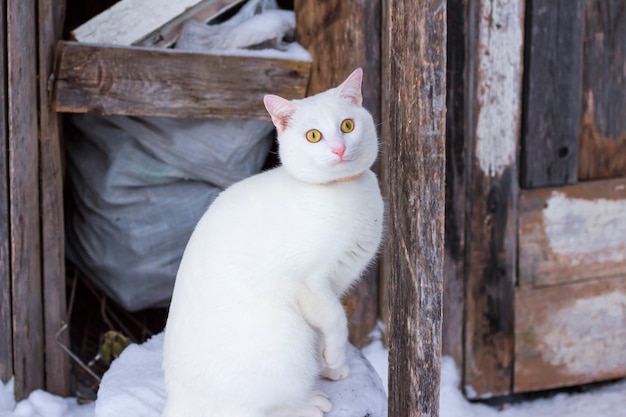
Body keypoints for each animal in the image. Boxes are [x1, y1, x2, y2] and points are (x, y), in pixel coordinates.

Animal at [161, 69, 382, 416]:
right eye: (314, 136)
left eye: (348, 126)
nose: (338, 150)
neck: (344, 192)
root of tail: (177, 403)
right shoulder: (308, 283)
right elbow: (337, 320)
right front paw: (334, 357)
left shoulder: (334, 286)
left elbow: (327, 327)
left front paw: (332, 367)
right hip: (287, 338)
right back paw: (308, 404)